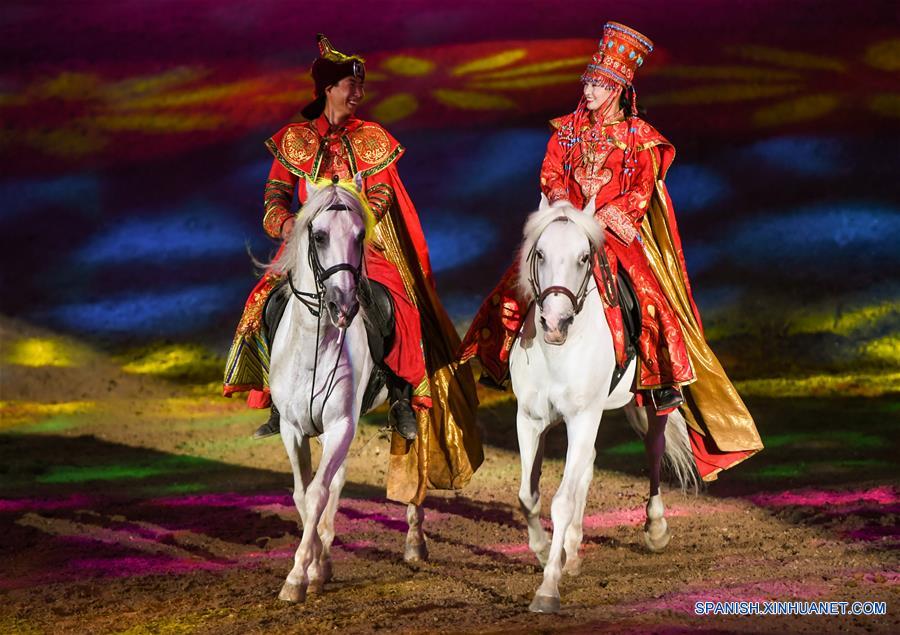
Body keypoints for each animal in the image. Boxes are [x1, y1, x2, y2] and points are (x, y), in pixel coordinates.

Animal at [268, 176, 428, 604]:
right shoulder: (293, 429)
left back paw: (415, 542)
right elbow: (303, 494)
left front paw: (296, 577)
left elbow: (316, 494)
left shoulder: (341, 423)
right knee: (335, 482)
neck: (314, 346)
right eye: (319, 236)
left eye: (360, 235)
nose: (343, 304)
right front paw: (316, 567)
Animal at [506, 196, 696, 612]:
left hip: (649, 404)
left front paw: (548, 589)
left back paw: (655, 528)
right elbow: (528, 496)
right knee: (587, 468)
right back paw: (572, 551)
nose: (554, 324)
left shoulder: (582, 417)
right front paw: (545, 551)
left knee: (653, 448)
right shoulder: (530, 419)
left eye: (583, 257)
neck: (560, 350)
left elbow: (561, 501)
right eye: (540, 253)